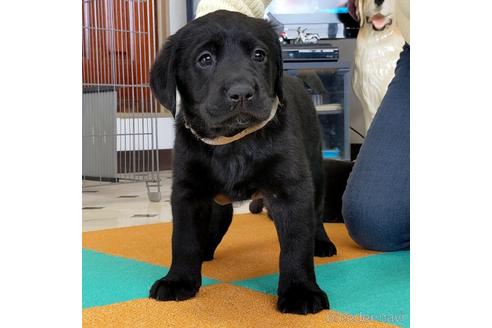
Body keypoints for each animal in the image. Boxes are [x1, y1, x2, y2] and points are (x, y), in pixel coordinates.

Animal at [148, 9, 336, 316]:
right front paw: (179, 280)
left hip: (316, 173)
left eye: (259, 55)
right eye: (205, 59)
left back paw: (321, 242)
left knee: (316, 215)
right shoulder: (188, 192)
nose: (242, 93)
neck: (233, 142)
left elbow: (296, 243)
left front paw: (300, 290)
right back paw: (205, 251)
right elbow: (184, 239)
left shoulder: (290, 190)